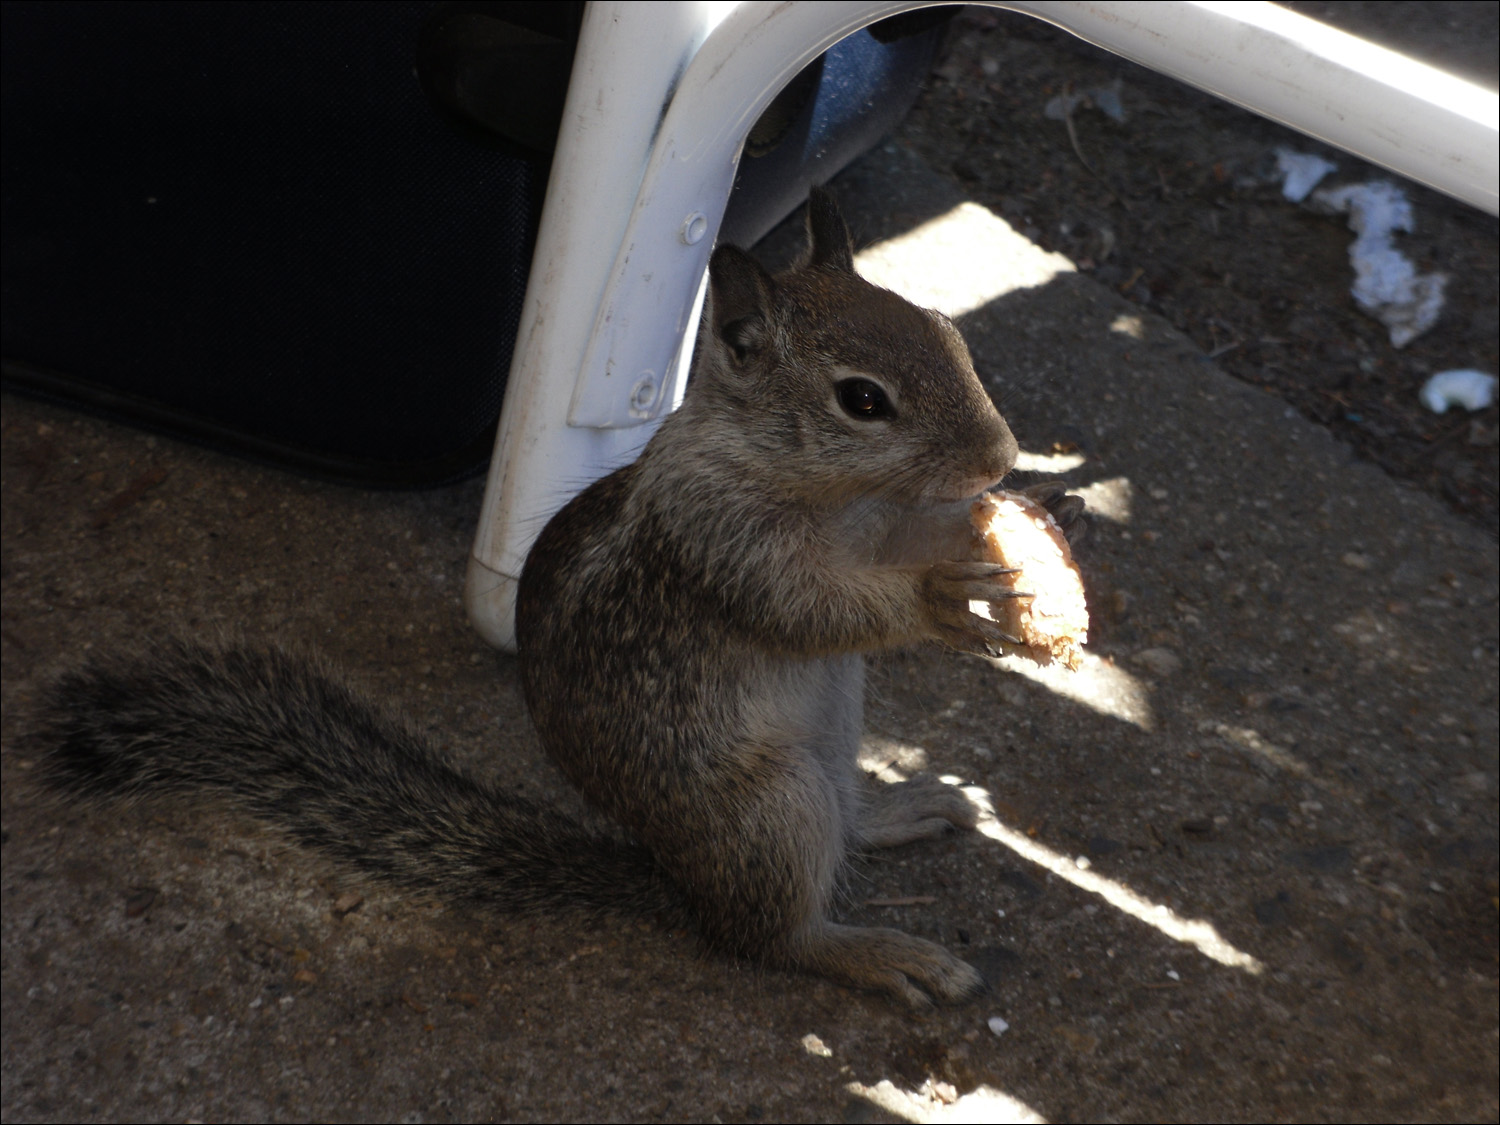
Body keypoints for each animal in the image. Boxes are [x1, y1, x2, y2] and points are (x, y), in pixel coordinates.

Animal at [41, 189, 1086, 1008]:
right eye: (863, 400)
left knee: (843, 828)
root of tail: (675, 879)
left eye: (948, 331)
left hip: (832, 744)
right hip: (770, 803)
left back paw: (905, 807)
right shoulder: (717, 539)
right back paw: (877, 952)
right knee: (768, 936)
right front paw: (946, 598)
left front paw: (1029, 512)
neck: (825, 491)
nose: (997, 454)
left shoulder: (873, 523)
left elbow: (906, 542)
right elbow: (805, 609)